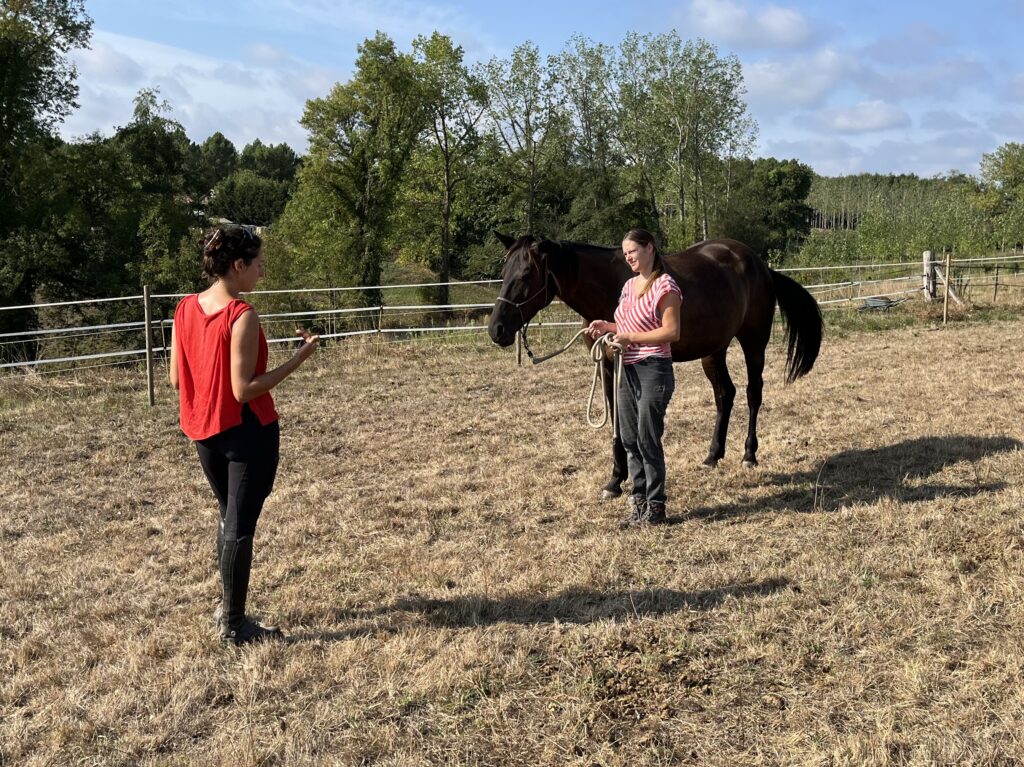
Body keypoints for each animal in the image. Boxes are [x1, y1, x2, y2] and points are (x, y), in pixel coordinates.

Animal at [487, 231, 823, 497]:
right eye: (505, 271)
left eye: (527, 274)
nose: (497, 329)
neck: (611, 287)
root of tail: (760, 265)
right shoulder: (607, 366)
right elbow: (618, 423)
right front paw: (615, 480)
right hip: (713, 350)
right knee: (725, 395)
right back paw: (712, 456)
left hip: (753, 342)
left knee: (754, 393)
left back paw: (749, 455)